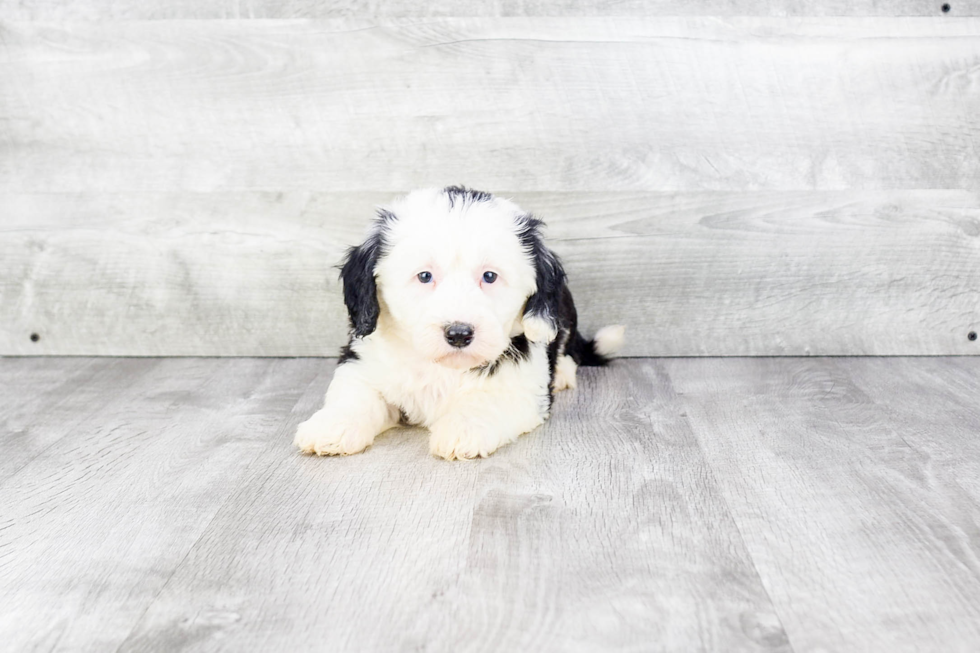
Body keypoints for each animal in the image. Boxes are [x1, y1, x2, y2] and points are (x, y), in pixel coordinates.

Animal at [294, 183, 624, 458]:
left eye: (489, 276)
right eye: (424, 276)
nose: (459, 334)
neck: (442, 368)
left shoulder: (524, 385)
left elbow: (488, 401)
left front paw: (463, 429)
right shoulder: (363, 362)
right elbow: (356, 394)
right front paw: (333, 426)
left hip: (563, 312)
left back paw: (564, 373)